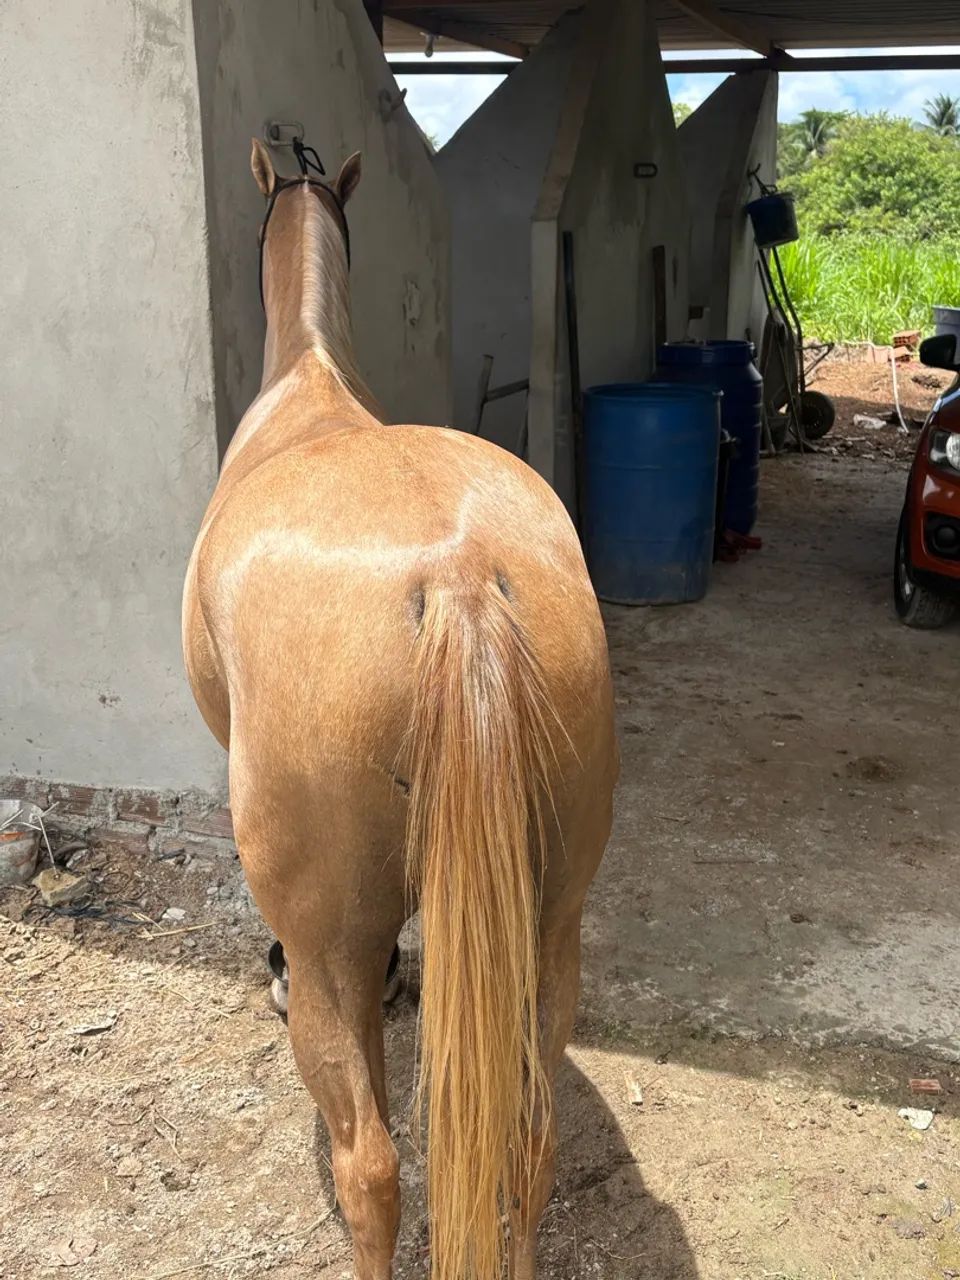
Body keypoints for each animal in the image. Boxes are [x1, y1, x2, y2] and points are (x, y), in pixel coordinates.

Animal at [182, 137, 617, 1280]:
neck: (308, 382)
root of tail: (457, 573)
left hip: (335, 948)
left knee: (372, 1167)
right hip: (549, 923)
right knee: (528, 1139)